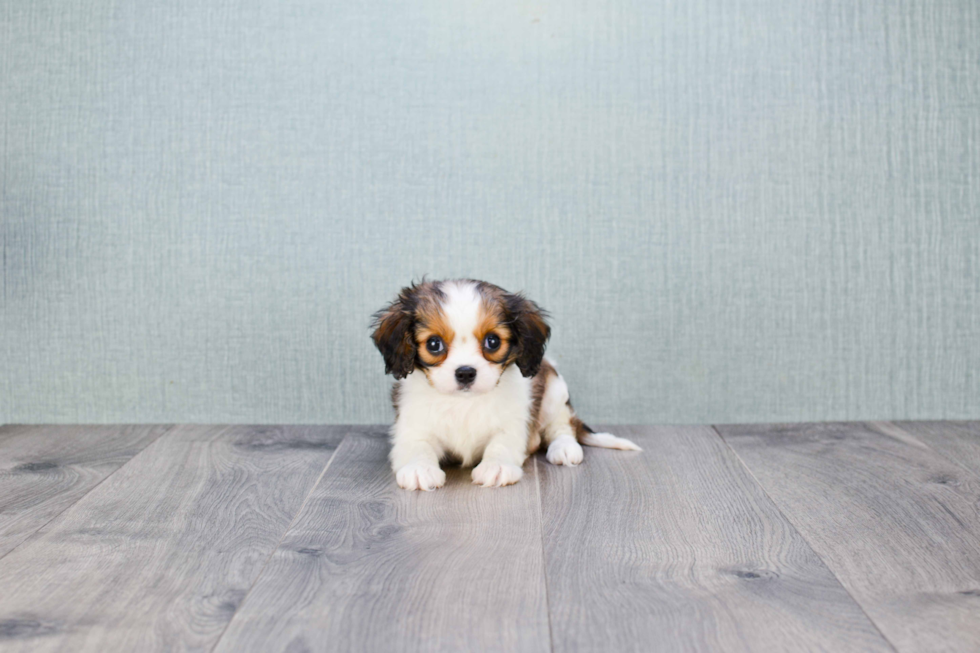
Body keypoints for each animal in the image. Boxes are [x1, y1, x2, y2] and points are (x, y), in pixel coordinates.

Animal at [372, 276, 640, 488]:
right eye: (433, 344)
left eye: (492, 342)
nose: (465, 372)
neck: (464, 403)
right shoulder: (412, 425)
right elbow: (418, 445)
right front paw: (420, 468)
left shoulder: (514, 422)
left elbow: (501, 443)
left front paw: (496, 466)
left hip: (555, 391)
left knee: (562, 426)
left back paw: (564, 447)